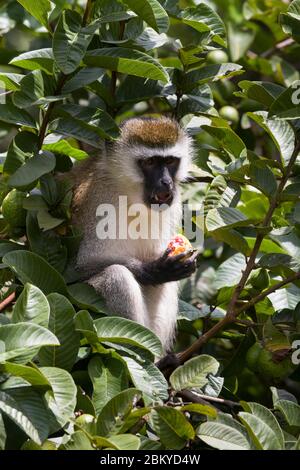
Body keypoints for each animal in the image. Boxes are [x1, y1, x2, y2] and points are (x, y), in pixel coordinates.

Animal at [70, 117, 197, 352]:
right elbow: (81, 267)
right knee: (117, 276)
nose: (166, 182)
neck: (130, 195)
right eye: (150, 162)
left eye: (170, 161)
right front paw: (154, 270)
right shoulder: (98, 200)